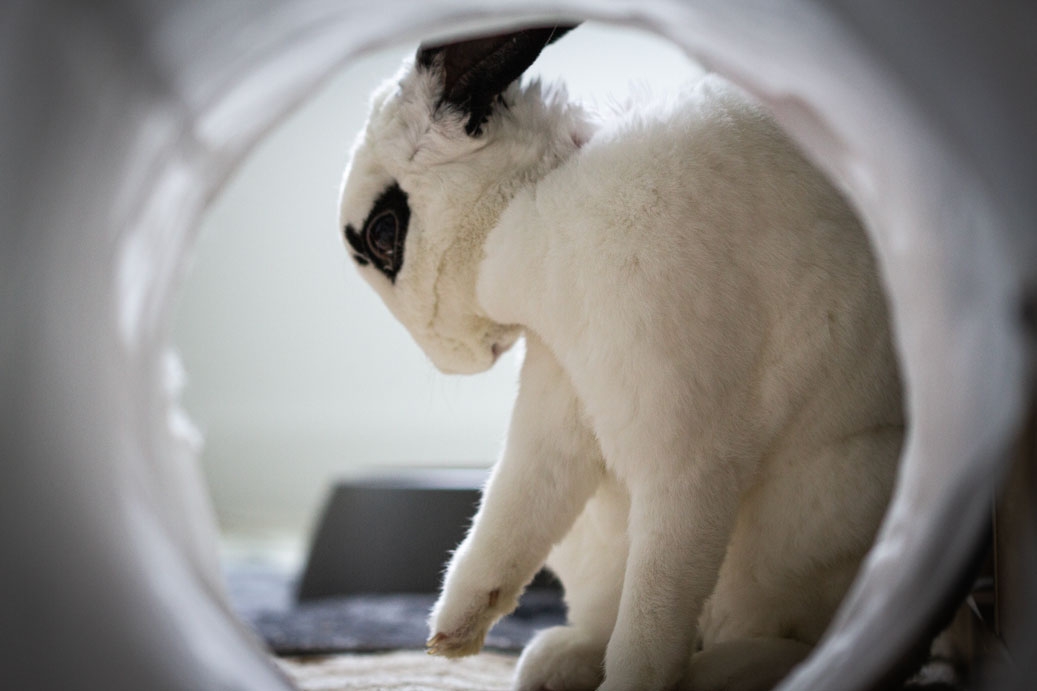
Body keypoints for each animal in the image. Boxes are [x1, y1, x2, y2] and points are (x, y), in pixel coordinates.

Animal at [337, 24, 903, 691]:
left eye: (383, 234)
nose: (453, 362)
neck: (536, 199)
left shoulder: (686, 452)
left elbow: (653, 611)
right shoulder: (560, 396)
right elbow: (511, 509)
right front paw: (448, 636)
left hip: (813, 527)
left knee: (798, 637)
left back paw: (721, 672)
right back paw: (556, 660)